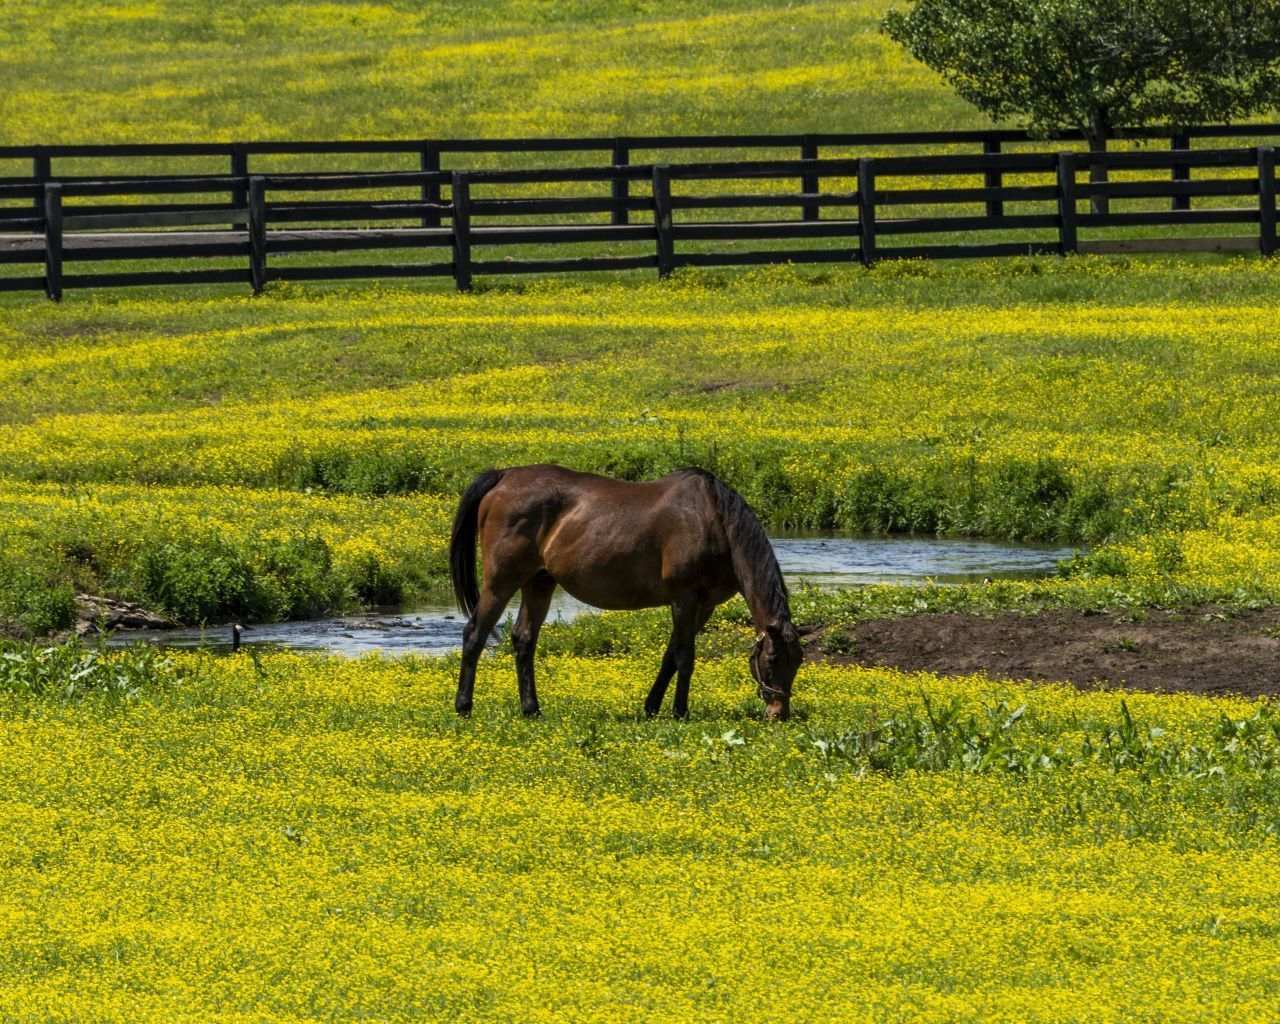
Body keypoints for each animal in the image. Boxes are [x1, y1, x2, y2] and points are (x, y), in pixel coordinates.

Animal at [449, 464, 803, 720]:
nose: (779, 713)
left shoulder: (704, 606)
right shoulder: (685, 599)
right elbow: (685, 657)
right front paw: (680, 711)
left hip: (539, 582)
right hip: (501, 581)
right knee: (475, 634)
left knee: (524, 641)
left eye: (798, 661)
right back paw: (464, 706)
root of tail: (503, 476)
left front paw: (652, 706)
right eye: (772, 659)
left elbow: (670, 655)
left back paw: (531, 709)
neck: (715, 521)